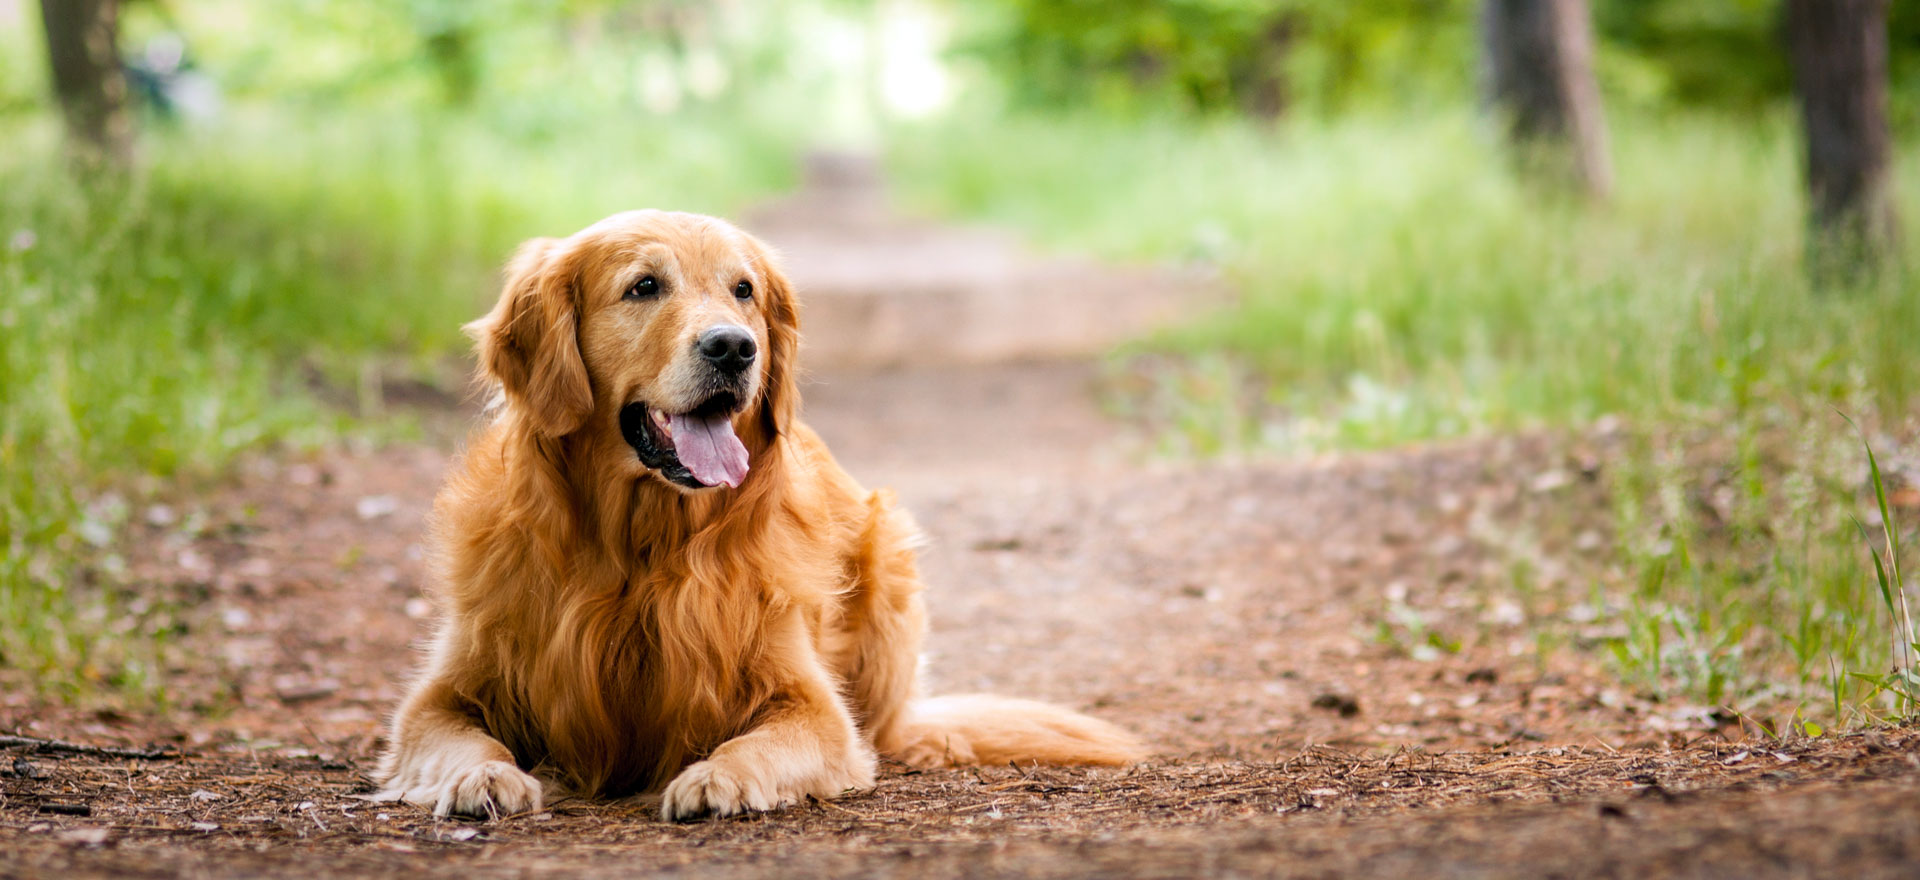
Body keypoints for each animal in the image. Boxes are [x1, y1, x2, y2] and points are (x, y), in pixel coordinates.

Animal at [382, 209, 1144, 822]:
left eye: (742, 290)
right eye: (644, 286)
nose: (733, 346)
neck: (641, 549)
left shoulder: (812, 704)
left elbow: (769, 741)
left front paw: (717, 778)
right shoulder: (439, 696)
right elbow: (456, 739)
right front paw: (485, 776)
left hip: (889, 551)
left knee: (892, 729)